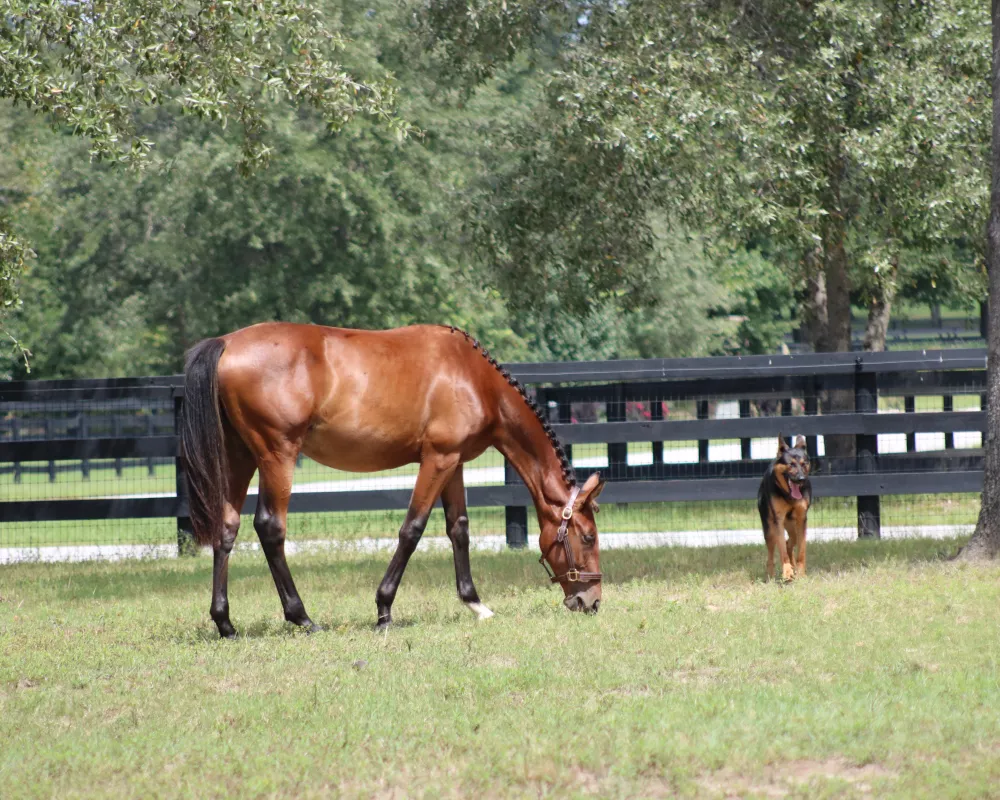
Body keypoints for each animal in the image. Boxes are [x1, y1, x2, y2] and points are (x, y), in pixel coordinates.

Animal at [181, 320, 604, 636]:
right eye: (588, 537)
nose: (593, 601)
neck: (474, 377)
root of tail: (226, 343)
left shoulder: (455, 463)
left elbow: (459, 528)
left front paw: (475, 603)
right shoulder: (437, 459)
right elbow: (412, 529)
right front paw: (384, 610)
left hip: (239, 456)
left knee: (227, 528)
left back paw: (225, 623)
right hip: (277, 455)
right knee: (270, 527)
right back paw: (302, 617)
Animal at [756, 438, 812, 580]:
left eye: (804, 464)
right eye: (790, 464)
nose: (801, 479)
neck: (789, 495)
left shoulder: (802, 518)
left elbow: (801, 550)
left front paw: (801, 573)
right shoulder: (778, 520)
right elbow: (782, 550)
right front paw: (787, 572)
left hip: (793, 526)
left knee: (790, 542)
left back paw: (794, 567)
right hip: (769, 529)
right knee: (771, 554)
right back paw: (770, 576)